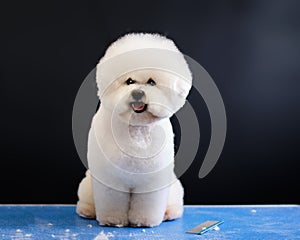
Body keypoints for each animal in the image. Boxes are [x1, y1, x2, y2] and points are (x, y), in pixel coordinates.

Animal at [76, 33, 191, 227]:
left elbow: (147, 204)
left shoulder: (151, 181)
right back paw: (87, 211)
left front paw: (144, 221)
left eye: (151, 82)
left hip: (173, 187)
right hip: (87, 185)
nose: (138, 93)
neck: (136, 128)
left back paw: (169, 213)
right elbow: (112, 201)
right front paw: (112, 220)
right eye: (129, 81)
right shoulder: (110, 178)